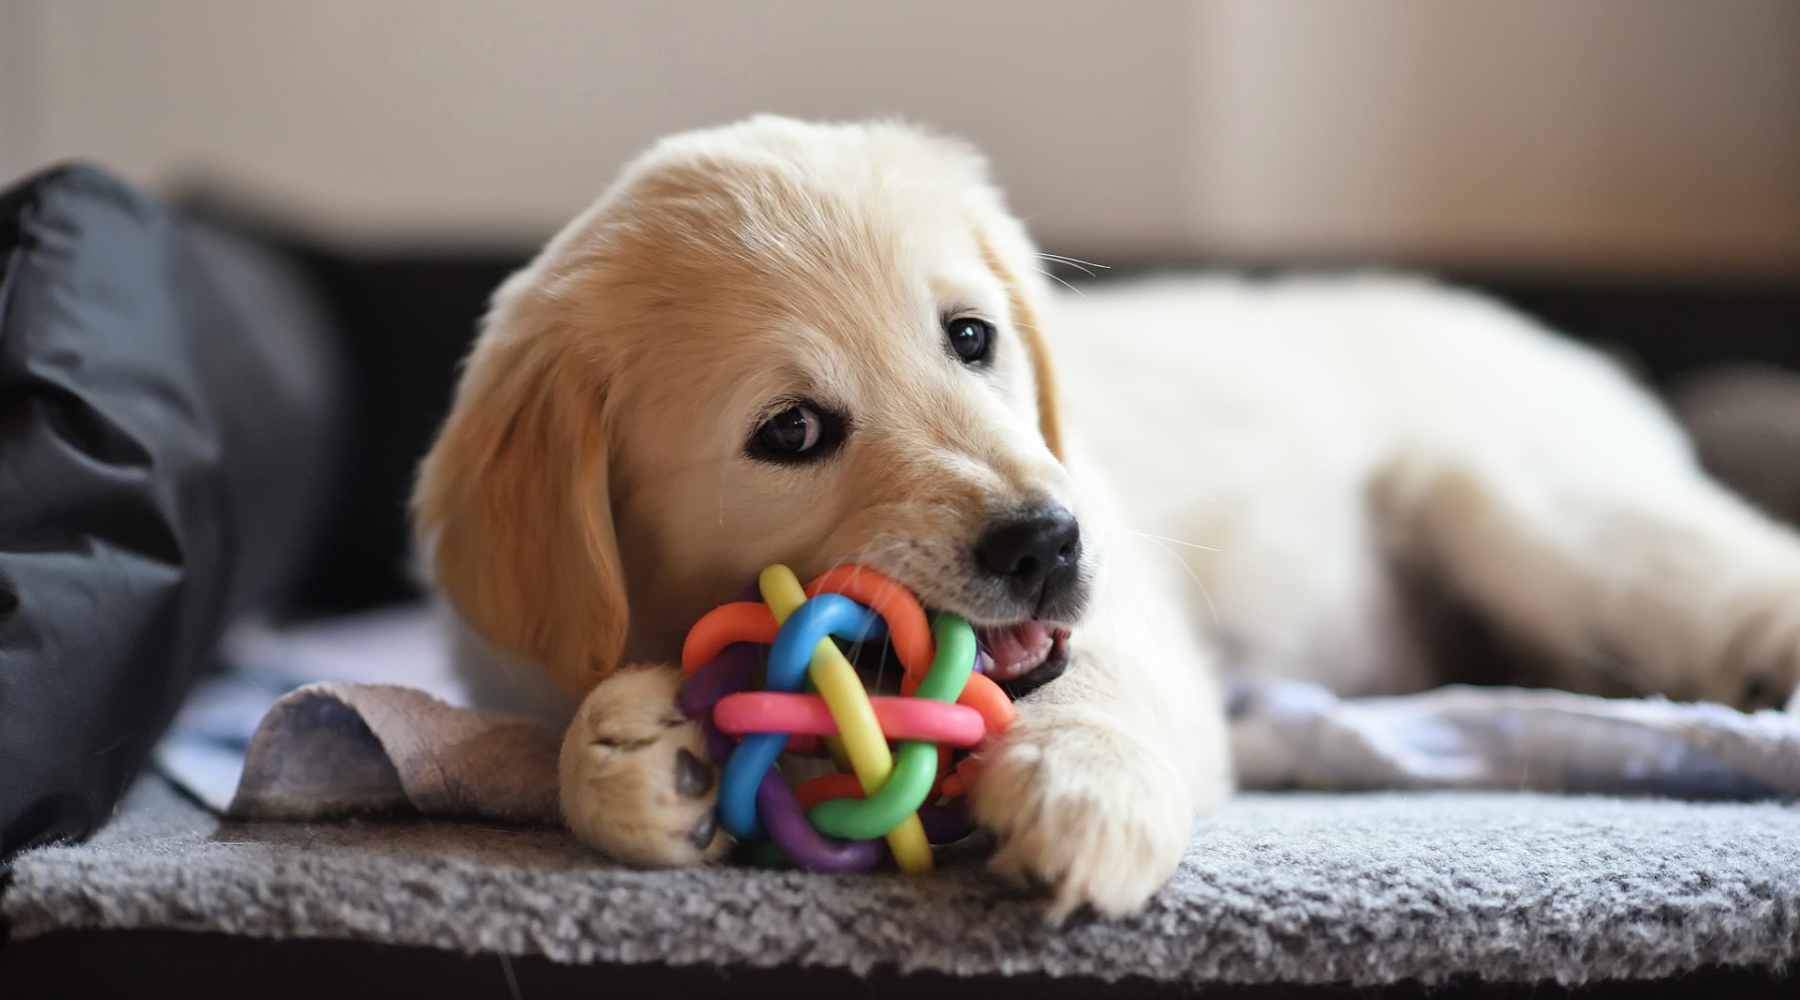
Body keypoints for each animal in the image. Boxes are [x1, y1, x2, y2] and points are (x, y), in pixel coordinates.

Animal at [414, 113, 1800, 917]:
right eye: (790, 432)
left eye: (971, 337)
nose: (1045, 541)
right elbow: (562, 731)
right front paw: (635, 753)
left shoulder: (1132, 604)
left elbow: (1095, 682)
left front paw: (1084, 791)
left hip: (1521, 507)